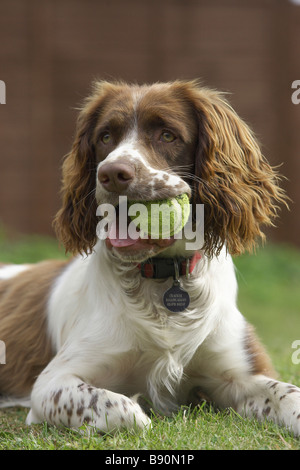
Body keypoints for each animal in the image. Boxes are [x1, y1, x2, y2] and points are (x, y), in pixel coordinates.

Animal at [0, 79, 300, 436]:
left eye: (167, 135)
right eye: (105, 137)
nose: (112, 173)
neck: (162, 275)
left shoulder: (243, 374)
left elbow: (289, 395)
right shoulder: (51, 383)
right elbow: (122, 409)